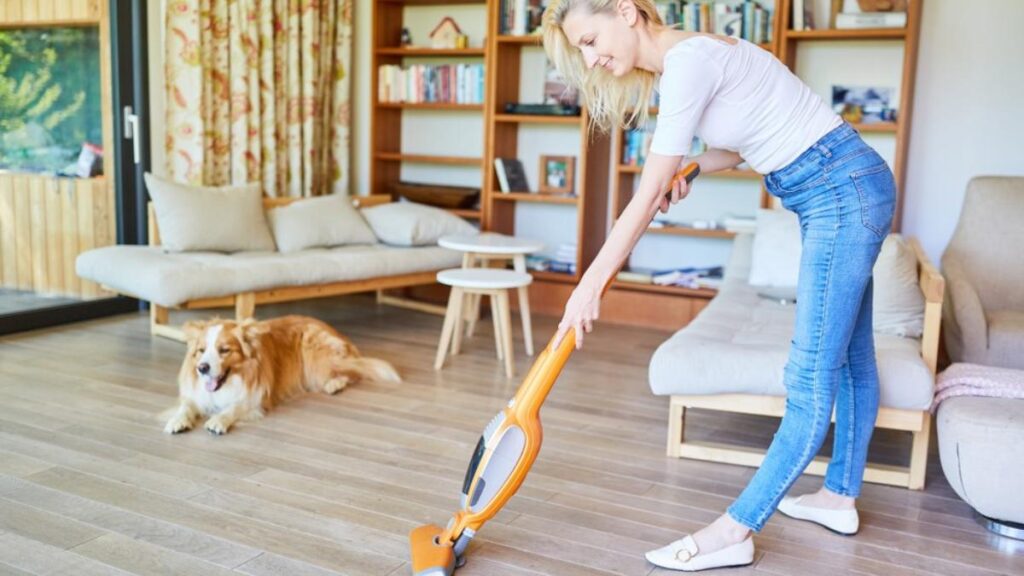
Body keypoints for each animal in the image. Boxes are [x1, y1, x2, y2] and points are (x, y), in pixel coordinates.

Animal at [163, 315, 399, 432]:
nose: (202, 368)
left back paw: (335, 384)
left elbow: (234, 407)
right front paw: (177, 420)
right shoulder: (196, 395)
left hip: (316, 357)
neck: (230, 382)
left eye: (224, 350)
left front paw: (218, 421)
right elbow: (186, 406)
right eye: (201, 350)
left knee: (355, 370)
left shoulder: (256, 399)